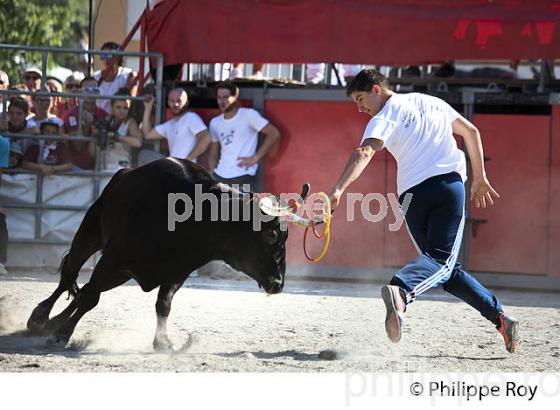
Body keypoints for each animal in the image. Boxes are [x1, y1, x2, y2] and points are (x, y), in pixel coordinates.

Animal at [27, 157, 294, 350]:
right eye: (270, 234)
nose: (278, 284)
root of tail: (122, 175)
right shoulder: (112, 257)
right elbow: (90, 297)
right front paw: (61, 335)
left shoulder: (178, 271)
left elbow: (163, 305)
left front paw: (163, 342)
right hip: (88, 236)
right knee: (69, 277)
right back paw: (39, 318)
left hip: (121, 275)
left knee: (84, 288)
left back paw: (52, 322)